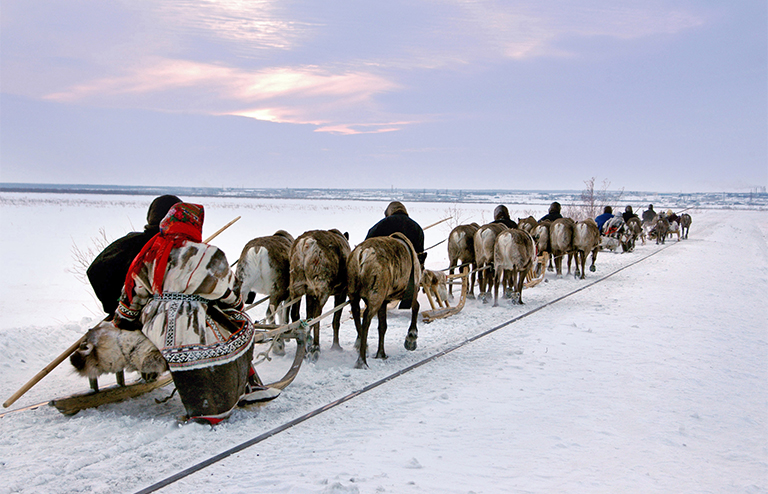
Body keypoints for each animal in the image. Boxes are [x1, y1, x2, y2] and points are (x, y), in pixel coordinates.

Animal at [289, 229, 351, 361]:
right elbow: (336, 320)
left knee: (296, 315)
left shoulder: (309, 293)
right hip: (322, 286)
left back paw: (304, 347)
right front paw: (336, 346)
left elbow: (308, 315)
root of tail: (306, 243)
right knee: (317, 316)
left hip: (296, 285)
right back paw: (315, 348)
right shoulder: (342, 292)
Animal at [347, 232, 422, 369]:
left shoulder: (384, 301)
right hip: (376, 293)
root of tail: (363, 253)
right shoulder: (408, 292)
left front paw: (381, 353)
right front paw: (411, 338)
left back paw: (362, 347)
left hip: (353, 292)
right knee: (366, 320)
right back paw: (362, 361)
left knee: (356, 314)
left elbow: (383, 326)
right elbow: (416, 307)